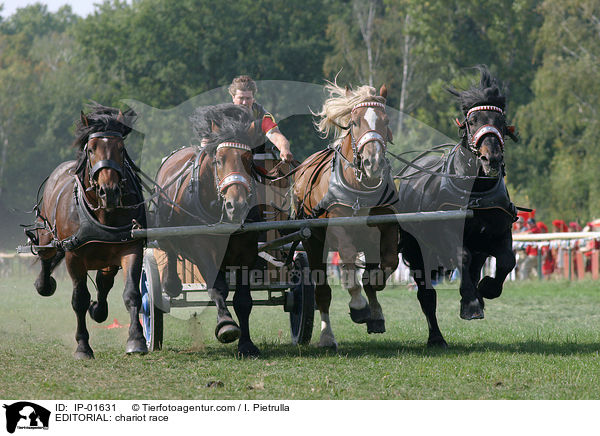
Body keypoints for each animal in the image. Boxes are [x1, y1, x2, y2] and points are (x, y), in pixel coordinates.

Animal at [28, 104, 148, 360]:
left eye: (121, 149)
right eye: (91, 149)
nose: (109, 191)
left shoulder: (130, 247)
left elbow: (132, 293)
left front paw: (136, 339)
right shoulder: (74, 255)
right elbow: (79, 299)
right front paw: (83, 346)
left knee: (104, 282)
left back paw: (99, 309)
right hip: (47, 234)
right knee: (45, 257)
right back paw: (44, 284)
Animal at [152, 103, 262, 358]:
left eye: (249, 159)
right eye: (219, 160)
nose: (236, 205)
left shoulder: (247, 249)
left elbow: (243, 300)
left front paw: (246, 344)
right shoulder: (201, 247)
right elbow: (218, 288)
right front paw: (227, 325)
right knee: (169, 251)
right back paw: (171, 283)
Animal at [292, 81, 398, 348]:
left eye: (386, 121)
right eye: (355, 122)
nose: (373, 163)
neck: (361, 186)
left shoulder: (387, 224)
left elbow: (387, 264)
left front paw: (374, 305)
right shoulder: (337, 227)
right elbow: (349, 258)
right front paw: (358, 304)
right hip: (312, 243)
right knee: (322, 292)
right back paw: (327, 335)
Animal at [396, 65, 516, 348]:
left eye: (501, 121)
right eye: (473, 121)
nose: (491, 159)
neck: (476, 191)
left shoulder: (500, 231)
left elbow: (507, 260)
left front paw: (486, 289)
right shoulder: (446, 234)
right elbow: (462, 256)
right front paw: (471, 303)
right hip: (417, 251)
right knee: (427, 296)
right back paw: (437, 337)